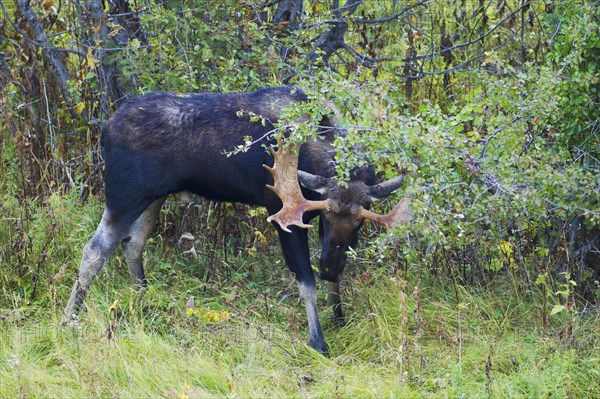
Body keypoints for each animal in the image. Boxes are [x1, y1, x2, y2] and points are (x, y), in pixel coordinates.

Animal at [64, 86, 412, 354]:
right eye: (327, 214)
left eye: (359, 224)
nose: (328, 267)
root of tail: (105, 129)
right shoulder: (281, 211)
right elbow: (305, 281)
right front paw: (318, 342)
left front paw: (339, 318)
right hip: (125, 194)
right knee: (95, 250)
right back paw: (70, 318)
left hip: (154, 196)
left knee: (133, 243)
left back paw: (144, 301)